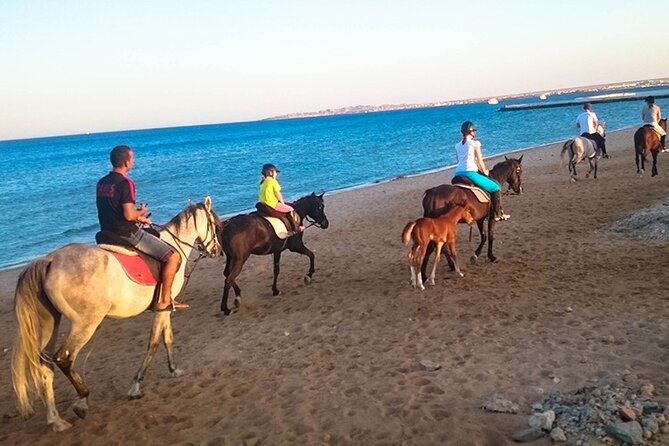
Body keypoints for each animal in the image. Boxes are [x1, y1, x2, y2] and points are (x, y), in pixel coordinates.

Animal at [11, 196, 219, 432]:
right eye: (214, 224)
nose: (217, 250)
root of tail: (50, 261)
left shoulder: (165, 309)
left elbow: (167, 338)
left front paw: (174, 369)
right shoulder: (163, 307)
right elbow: (154, 343)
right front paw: (136, 386)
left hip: (49, 323)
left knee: (45, 366)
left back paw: (56, 420)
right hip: (86, 324)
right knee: (64, 358)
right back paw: (82, 400)